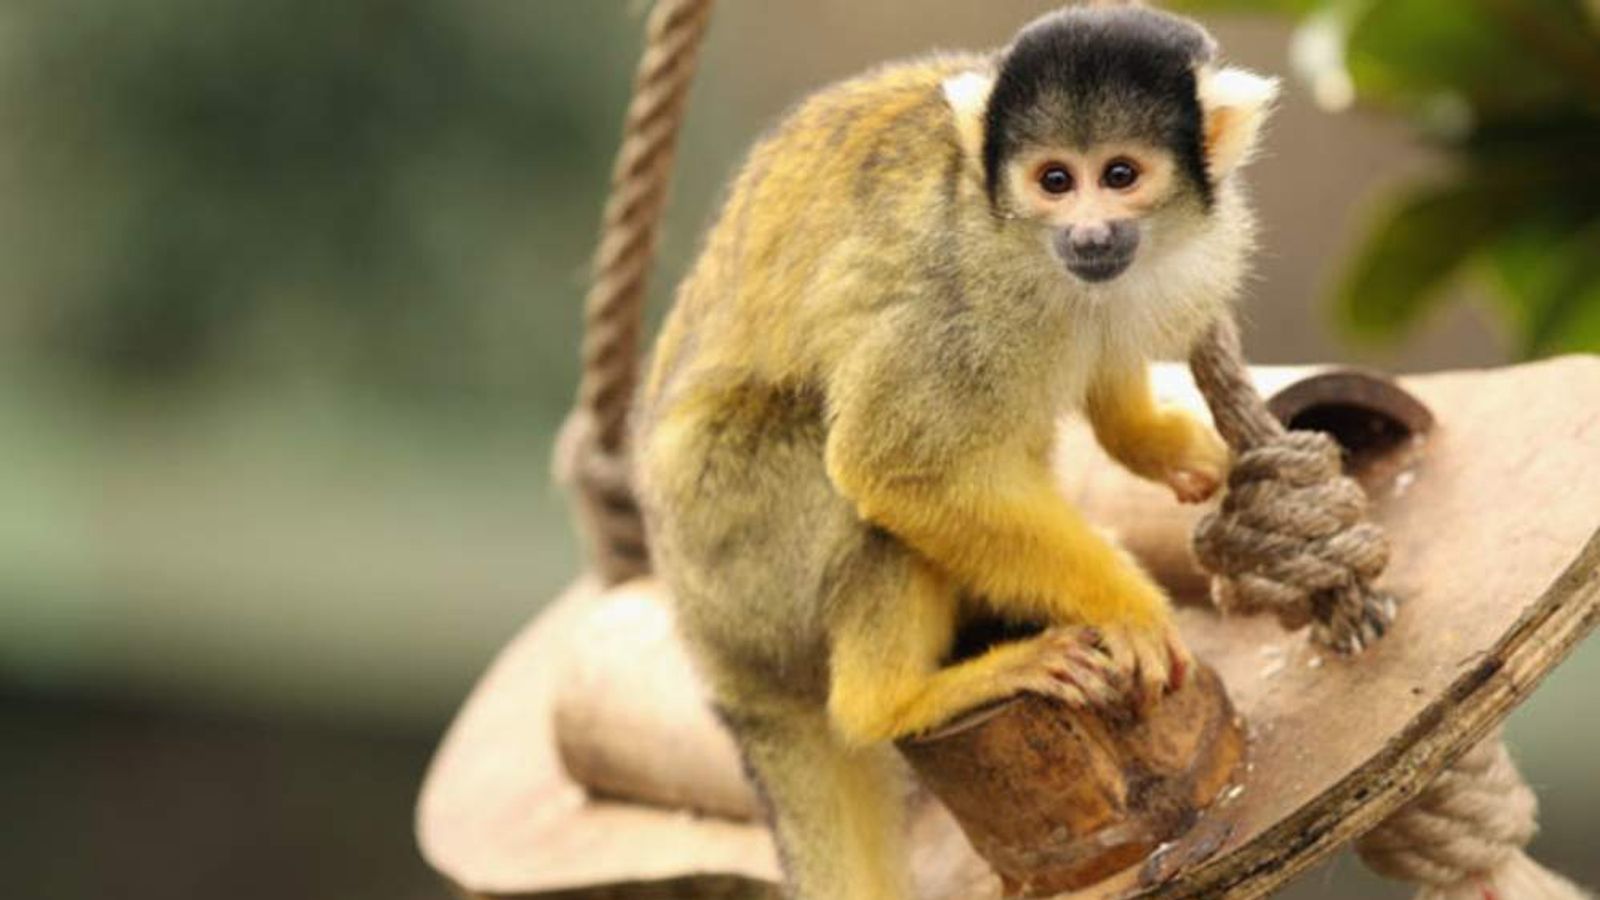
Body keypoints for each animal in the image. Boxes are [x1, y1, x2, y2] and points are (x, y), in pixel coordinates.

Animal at [632, 5, 1278, 898]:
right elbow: (890, 464)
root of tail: (701, 629)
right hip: (734, 542)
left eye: (1119, 174)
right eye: (1053, 181)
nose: (1088, 234)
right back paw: (895, 700)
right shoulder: (965, 291)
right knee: (854, 494)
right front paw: (1127, 609)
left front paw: (1151, 442)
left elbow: (1103, 351)